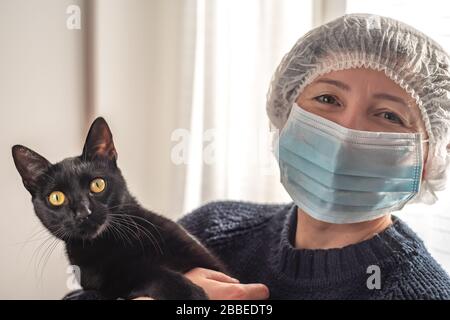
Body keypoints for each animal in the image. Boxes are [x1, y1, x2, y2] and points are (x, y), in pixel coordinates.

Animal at [11, 117, 225, 300]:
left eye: (98, 184)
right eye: (56, 197)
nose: (83, 212)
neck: (114, 241)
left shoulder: (209, 263)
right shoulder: (109, 284)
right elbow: (147, 273)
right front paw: (188, 292)